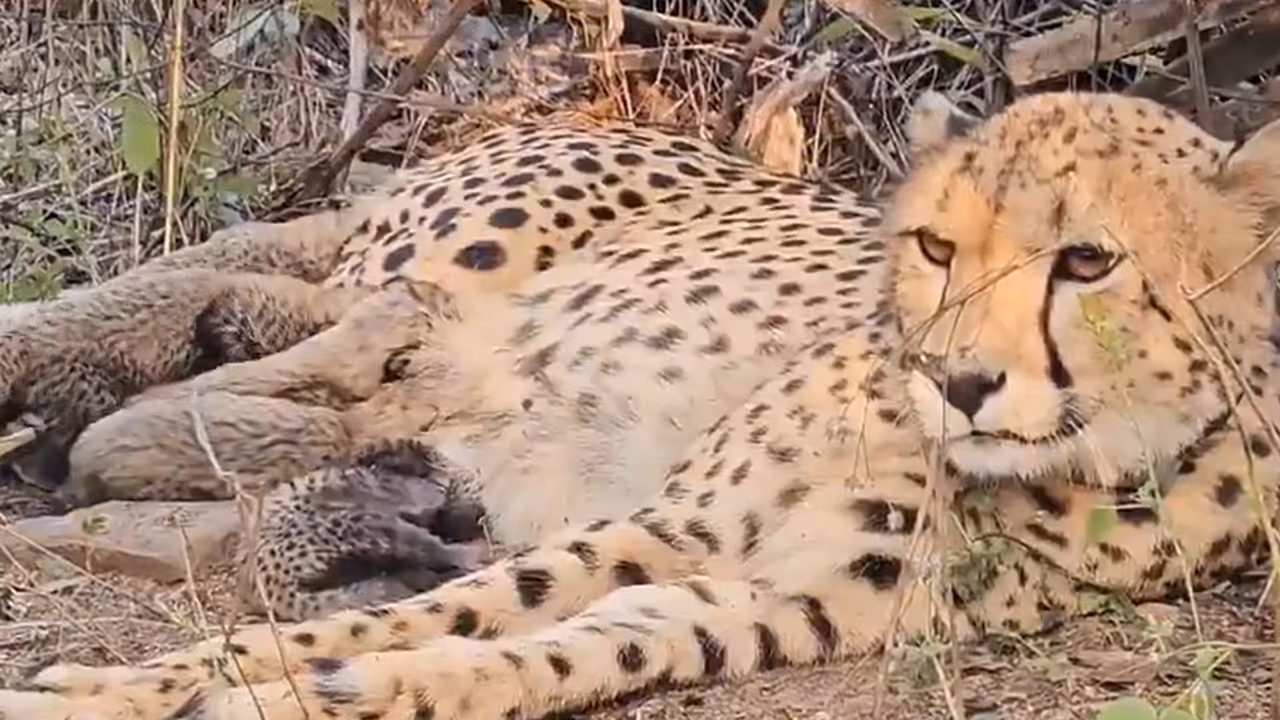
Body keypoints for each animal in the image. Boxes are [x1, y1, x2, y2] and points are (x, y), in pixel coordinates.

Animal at [3, 89, 1280, 720]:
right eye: (932, 244)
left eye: (1086, 261)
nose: (953, 379)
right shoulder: (675, 523)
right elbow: (407, 615)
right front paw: (119, 691)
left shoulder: (780, 600)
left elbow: (545, 652)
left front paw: (341, 692)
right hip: (465, 249)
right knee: (297, 288)